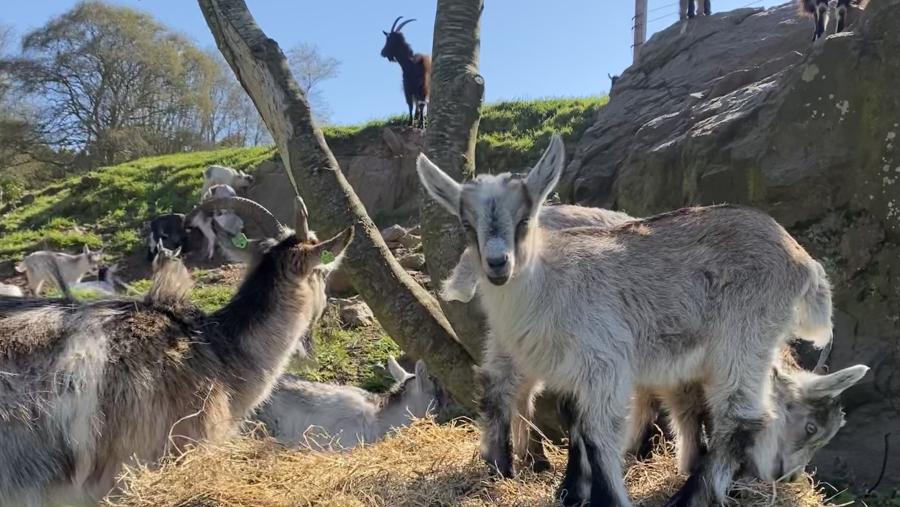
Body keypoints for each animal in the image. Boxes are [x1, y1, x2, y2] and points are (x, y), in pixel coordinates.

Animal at [418, 133, 852, 507]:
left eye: (524, 220)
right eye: (467, 225)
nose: (788, 477)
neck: (553, 282)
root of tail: (801, 259)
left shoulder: (608, 362)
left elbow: (610, 425)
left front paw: (591, 487)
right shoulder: (601, 364)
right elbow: (595, 428)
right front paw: (591, 492)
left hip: (746, 331)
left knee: (740, 417)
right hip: (743, 335)